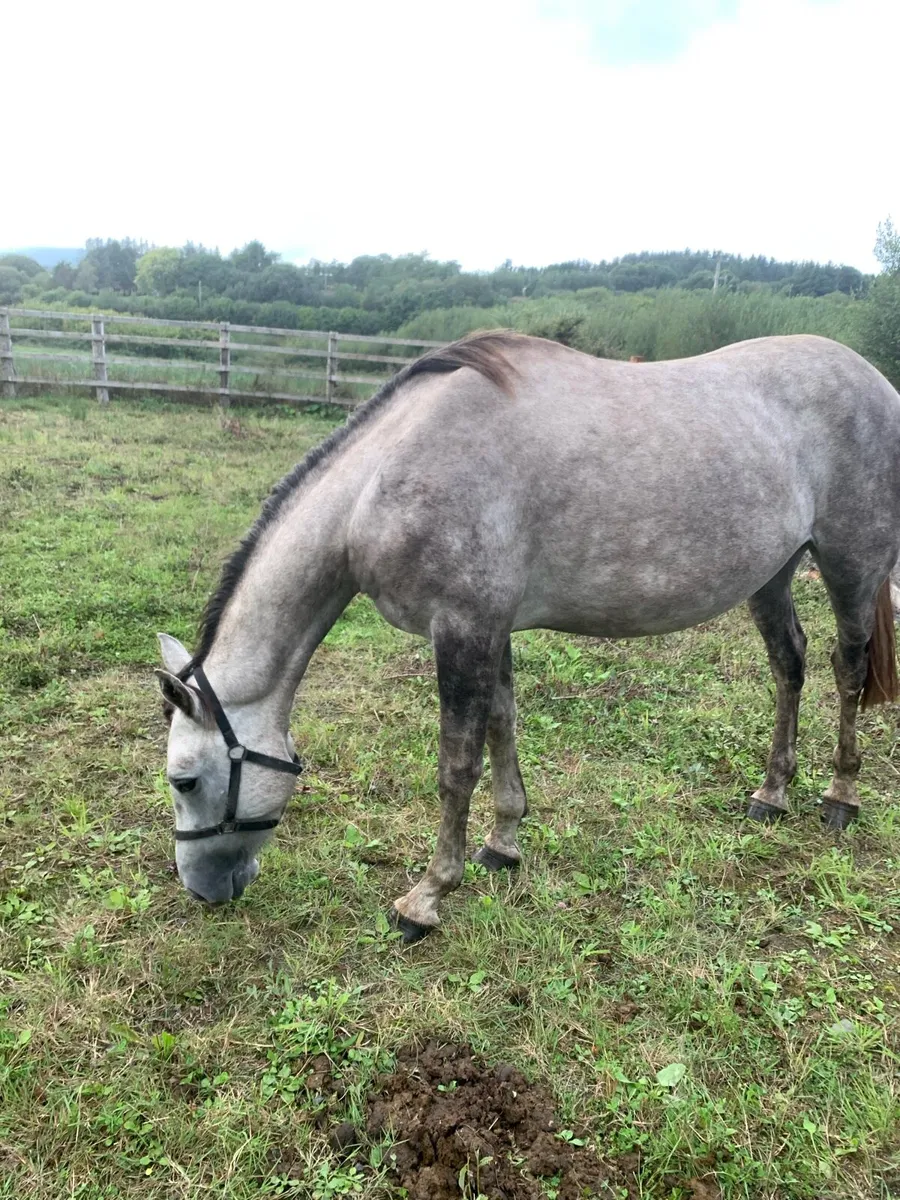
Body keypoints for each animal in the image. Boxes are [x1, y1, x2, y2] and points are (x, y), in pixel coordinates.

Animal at [156, 331, 900, 942]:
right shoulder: (491, 627)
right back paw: (772, 794)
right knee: (789, 664)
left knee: (846, 668)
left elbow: (457, 765)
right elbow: (502, 727)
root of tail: (875, 380)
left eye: (184, 780)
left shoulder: (460, 629)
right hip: (773, 573)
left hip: (850, 565)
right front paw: (503, 844)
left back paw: (840, 796)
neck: (385, 477)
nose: (201, 890)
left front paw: (425, 899)